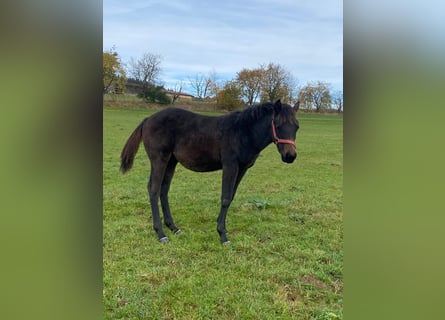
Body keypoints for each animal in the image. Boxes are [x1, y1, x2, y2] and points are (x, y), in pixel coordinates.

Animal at [119, 99, 298, 244]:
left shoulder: (243, 168)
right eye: (278, 125)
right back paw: (161, 233)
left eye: (296, 127)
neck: (244, 132)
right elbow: (225, 198)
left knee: (164, 190)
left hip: (171, 161)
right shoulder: (230, 165)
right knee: (154, 189)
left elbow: (231, 197)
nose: (290, 156)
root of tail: (148, 119)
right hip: (159, 159)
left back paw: (173, 227)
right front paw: (223, 235)